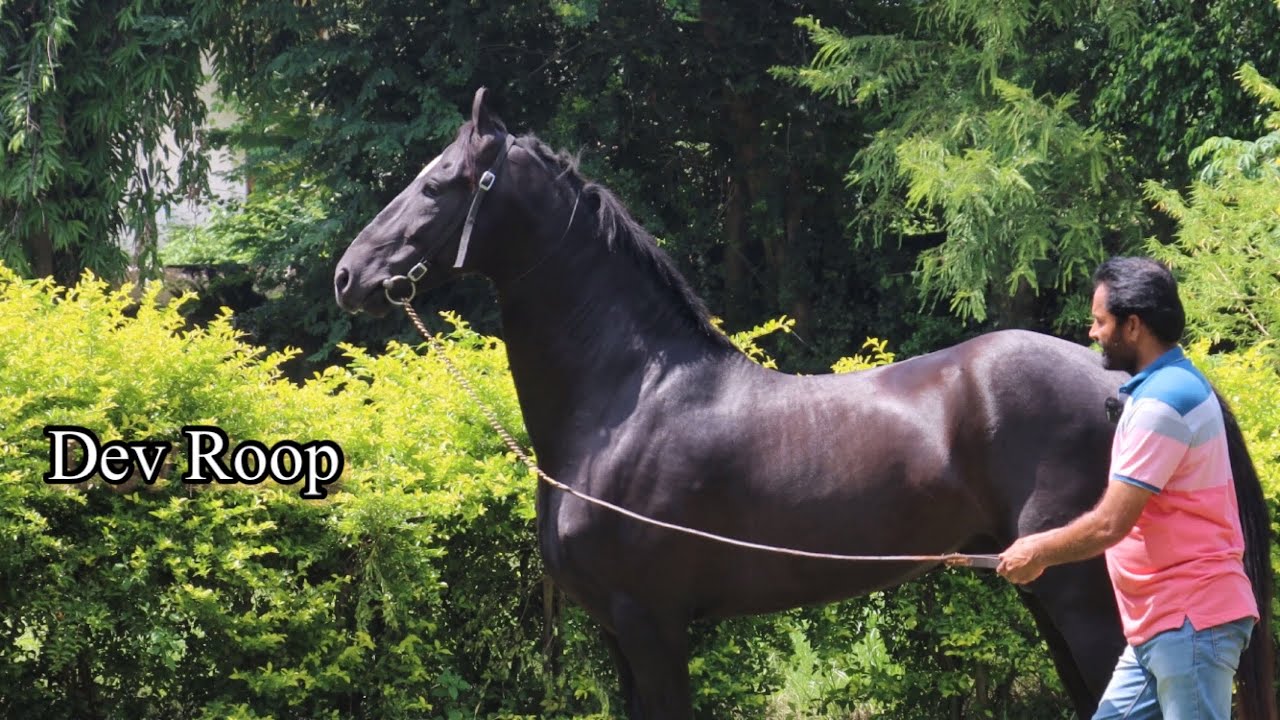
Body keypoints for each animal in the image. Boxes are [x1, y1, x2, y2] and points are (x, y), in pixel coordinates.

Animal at [333, 88, 1275, 720]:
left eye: (441, 182)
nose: (349, 274)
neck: (626, 401)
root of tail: (1127, 381)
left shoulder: (652, 626)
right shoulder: (618, 637)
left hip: (1085, 600)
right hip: (1044, 588)